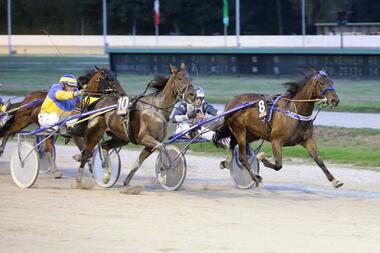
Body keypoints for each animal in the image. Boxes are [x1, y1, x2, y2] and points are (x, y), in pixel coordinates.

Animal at [214, 69, 344, 188]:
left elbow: (319, 160)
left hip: (252, 134)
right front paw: (261, 157)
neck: (295, 111)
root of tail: (231, 103)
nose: (335, 100)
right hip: (240, 130)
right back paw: (255, 177)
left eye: (332, 82)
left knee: (233, 144)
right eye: (321, 83)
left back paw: (226, 162)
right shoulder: (276, 140)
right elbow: (278, 165)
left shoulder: (307, 140)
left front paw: (335, 180)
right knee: (242, 157)